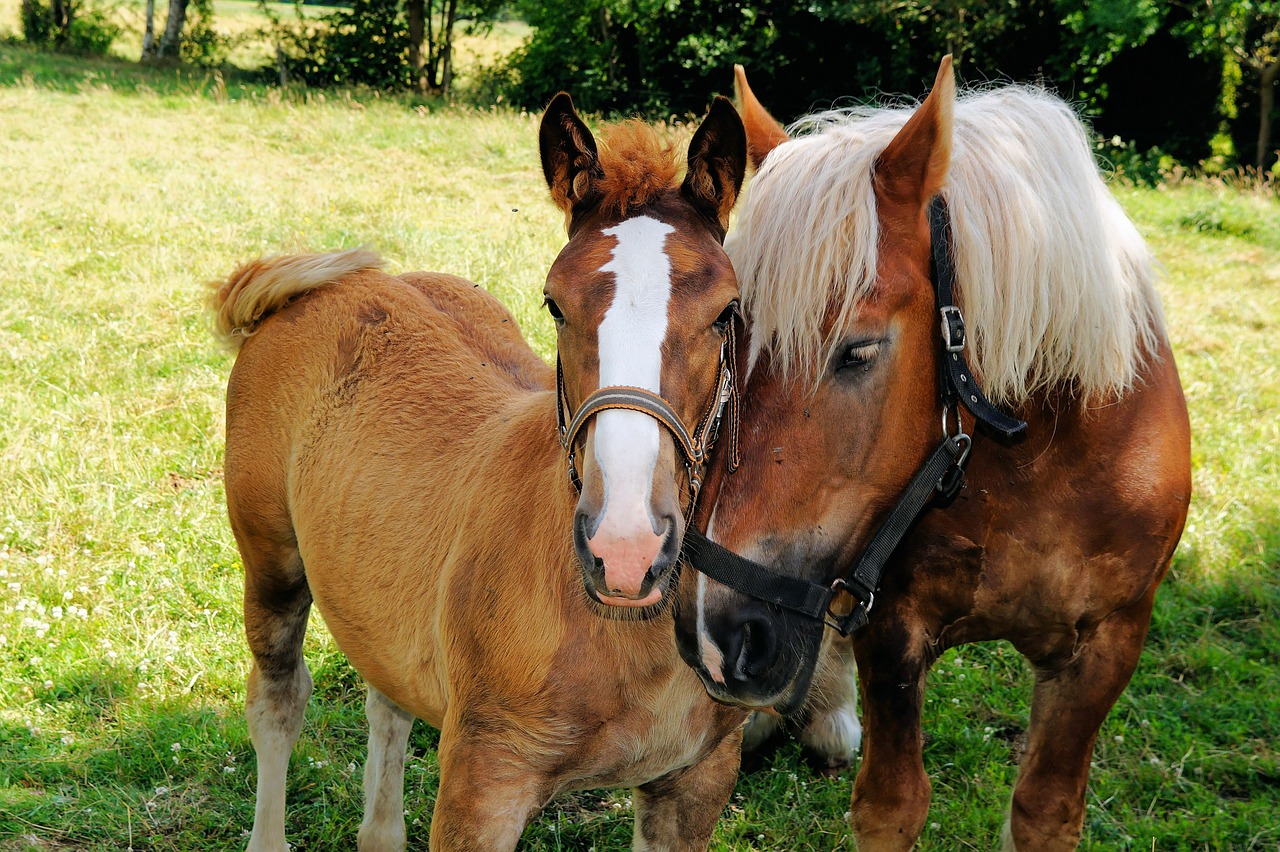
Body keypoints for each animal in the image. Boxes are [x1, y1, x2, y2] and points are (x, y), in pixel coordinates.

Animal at [211, 94, 747, 849]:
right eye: (554, 302)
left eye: (727, 309)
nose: (626, 548)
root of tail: (318, 289)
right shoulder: (483, 781)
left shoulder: (696, 782)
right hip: (271, 562)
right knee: (278, 700)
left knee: (388, 696)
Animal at [675, 56, 1192, 844]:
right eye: (726, 335)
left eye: (858, 351)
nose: (713, 629)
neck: (1036, 461)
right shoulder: (890, 625)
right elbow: (892, 804)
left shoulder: (1109, 645)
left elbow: (1045, 811)